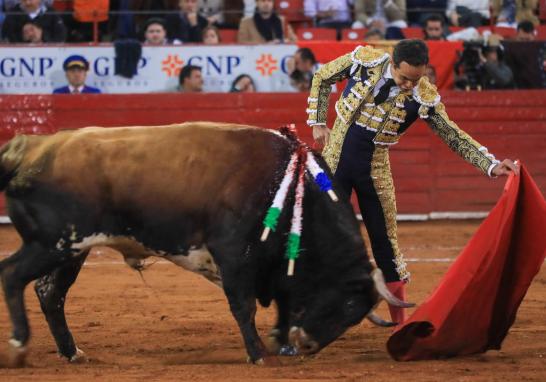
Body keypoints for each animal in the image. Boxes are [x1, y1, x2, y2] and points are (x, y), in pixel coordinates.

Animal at [0, 122, 406, 368]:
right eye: (349, 303)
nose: (307, 345)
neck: (289, 188)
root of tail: (30, 148)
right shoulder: (234, 253)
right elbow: (244, 306)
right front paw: (259, 354)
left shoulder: (274, 264)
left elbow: (284, 302)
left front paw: (278, 342)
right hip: (51, 243)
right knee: (12, 275)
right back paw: (19, 345)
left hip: (72, 249)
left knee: (50, 293)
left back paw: (72, 352)